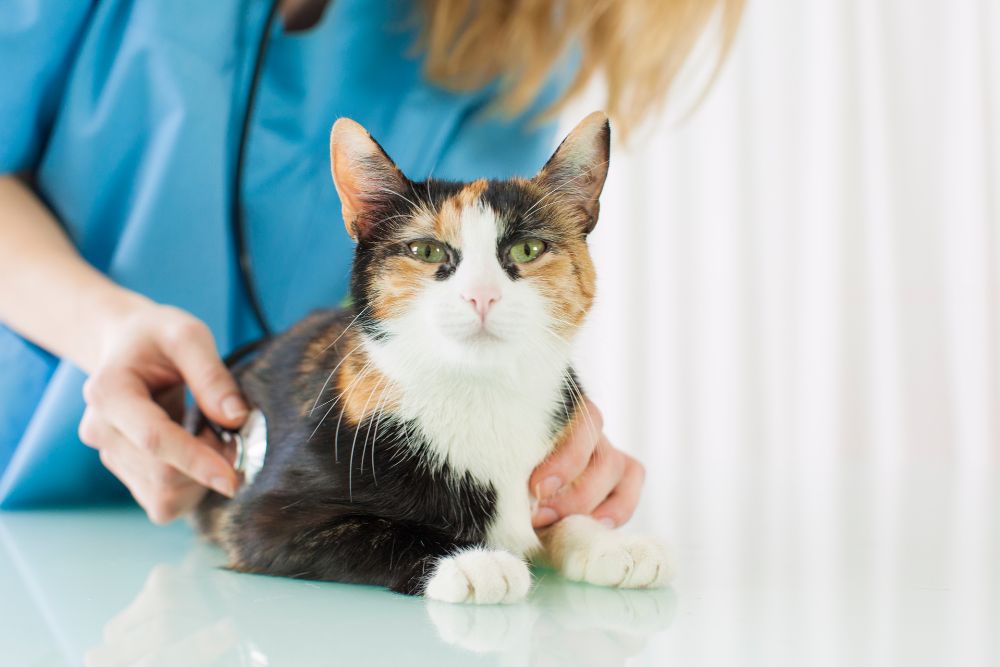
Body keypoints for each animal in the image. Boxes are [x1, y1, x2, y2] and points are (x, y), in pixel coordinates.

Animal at [193, 112, 672, 604]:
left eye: (528, 249)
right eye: (426, 251)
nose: (481, 295)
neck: (480, 393)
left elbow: (561, 514)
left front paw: (608, 542)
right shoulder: (262, 519)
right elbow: (381, 530)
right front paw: (472, 560)